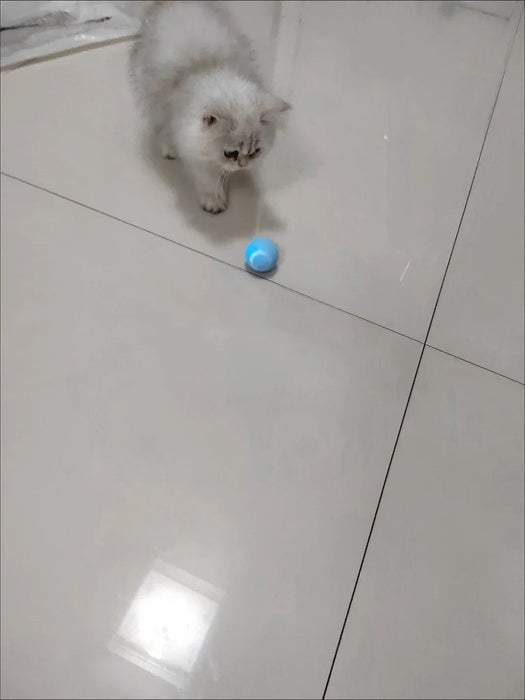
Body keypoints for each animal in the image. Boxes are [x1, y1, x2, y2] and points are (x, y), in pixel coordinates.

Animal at [129, 0, 288, 213]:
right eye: (231, 153)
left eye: (255, 152)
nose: (243, 165)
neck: (207, 68)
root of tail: (169, 3)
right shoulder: (194, 151)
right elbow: (208, 180)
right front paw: (213, 201)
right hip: (151, 94)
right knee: (161, 125)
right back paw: (169, 148)